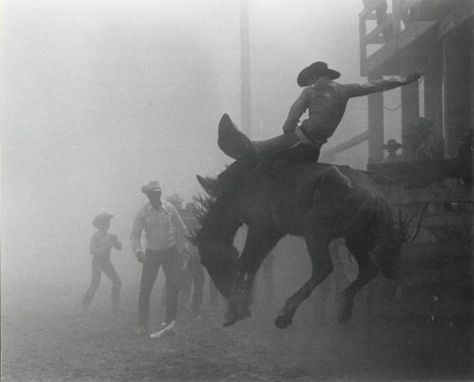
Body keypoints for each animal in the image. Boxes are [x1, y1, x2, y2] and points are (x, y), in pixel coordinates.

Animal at [193, 114, 426, 328]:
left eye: (204, 261)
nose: (223, 292)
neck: (241, 187)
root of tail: (377, 196)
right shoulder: (272, 232)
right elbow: (255, 263)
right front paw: (244, 305)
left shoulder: (260, 226)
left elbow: (246, 261)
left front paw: (233, 311)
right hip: (354, 238)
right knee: (368, 269)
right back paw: (344, 307)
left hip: (316, 232)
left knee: (324, 267)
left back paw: (286, 313)